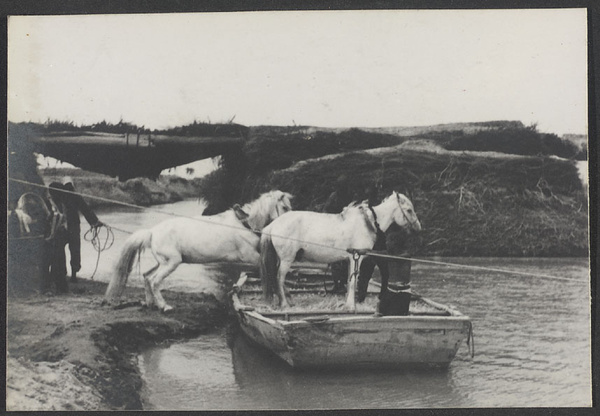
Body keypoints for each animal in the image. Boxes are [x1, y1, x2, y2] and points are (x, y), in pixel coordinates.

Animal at [108, 190, 296, 310]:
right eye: (285, 208)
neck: (245, 224)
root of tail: (152, 232)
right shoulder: (250, 256)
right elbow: (272, 271)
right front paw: (285, 299)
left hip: (162, 262)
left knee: (147, 276)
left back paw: (150, 304)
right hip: (172, 263)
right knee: (154, 281)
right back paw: (164, 306)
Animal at [258, 191, 422, 308]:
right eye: (409, 210)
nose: (418, 228)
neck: (368, 222)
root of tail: (273, 225)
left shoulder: (350, 259)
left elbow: (350, 281)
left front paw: (347, 303)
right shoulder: (357, 258)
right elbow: (354, 281)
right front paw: (351, 306)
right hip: (287, 259)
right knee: (279, 278)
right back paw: (285, 304)